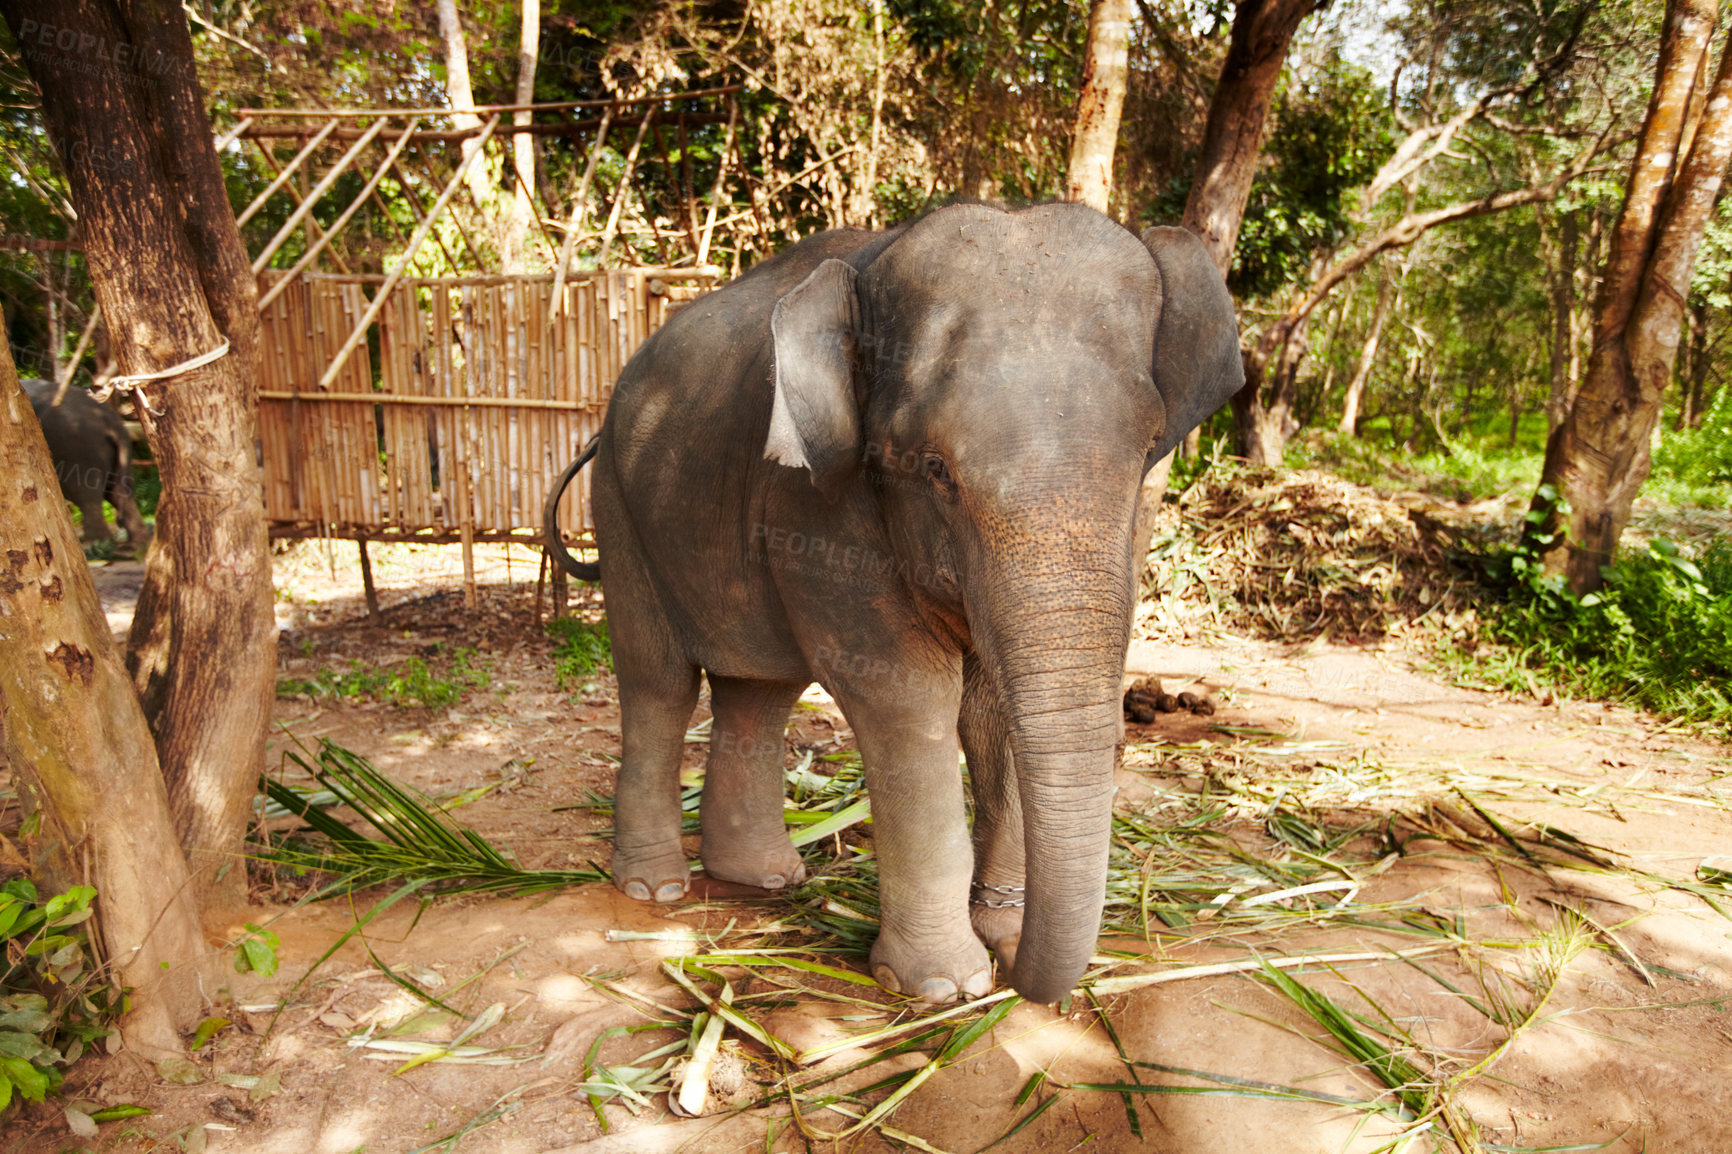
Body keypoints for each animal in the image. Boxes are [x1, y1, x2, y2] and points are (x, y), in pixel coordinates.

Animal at [23, 377, 150, 554]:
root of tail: (110, 421)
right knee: (118, 491)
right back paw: (134, 547)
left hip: (77, 448)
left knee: (86, 494)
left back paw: (94, 547)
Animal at [547, 201, 1240, 1004]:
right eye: (933, 468)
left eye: (1148, 448)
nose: (1018, 974)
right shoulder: (817, 499)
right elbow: (907, 695)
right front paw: (946, 985)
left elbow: (994, 705)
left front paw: (1002, 932)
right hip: (620, 510)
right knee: (659, 682)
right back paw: (656, 889)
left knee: (760, 690)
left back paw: (766, 878)